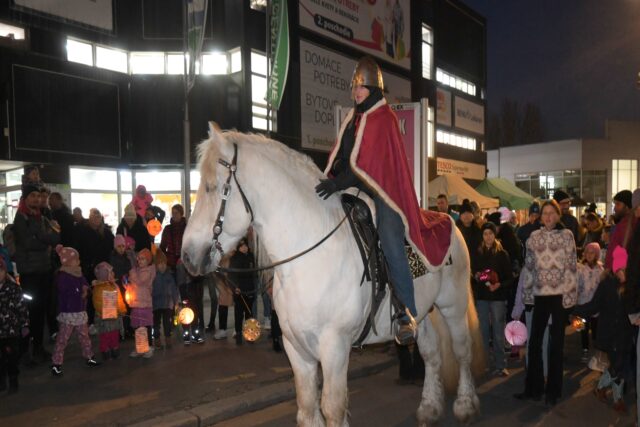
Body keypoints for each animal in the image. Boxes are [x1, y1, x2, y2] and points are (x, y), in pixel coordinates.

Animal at [182, 127, 482, 427]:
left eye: (211, 187)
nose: (187, 256)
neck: (308, 258)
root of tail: (449, 221)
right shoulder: (296, 348)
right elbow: (307, 408)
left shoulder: (335, 347)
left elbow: (333, 408)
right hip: (423, 311)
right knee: (432, 354)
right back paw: (429, 407)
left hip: (453, 306)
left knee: (462, 351)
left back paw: (466, 405)